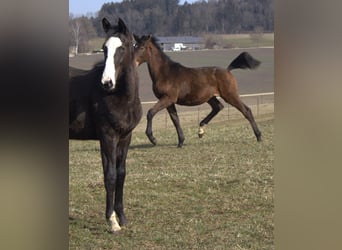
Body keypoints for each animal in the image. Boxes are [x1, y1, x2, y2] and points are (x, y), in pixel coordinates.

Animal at [69, 18, 142, 233]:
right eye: (104, 48)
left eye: (122, 48)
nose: (107, 82)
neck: (118, 97)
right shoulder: (108, 136)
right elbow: (110, 175)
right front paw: (112, 222)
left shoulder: (125, 137)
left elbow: (120, 173)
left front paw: (122, 217)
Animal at [134, 34, 262, 147]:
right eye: (135, 45)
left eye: (141, 47)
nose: (133, 63)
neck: (165, 73)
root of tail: (228, 70)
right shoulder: (169, 101)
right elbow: (175, 119)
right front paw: (181, 142)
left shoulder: (168, 98)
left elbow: (150, 112)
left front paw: (153, 139)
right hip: (211, 97)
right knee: (218, 107)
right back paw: (201, 130)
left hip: (230, 95)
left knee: (246, 110)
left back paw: (259, 136)